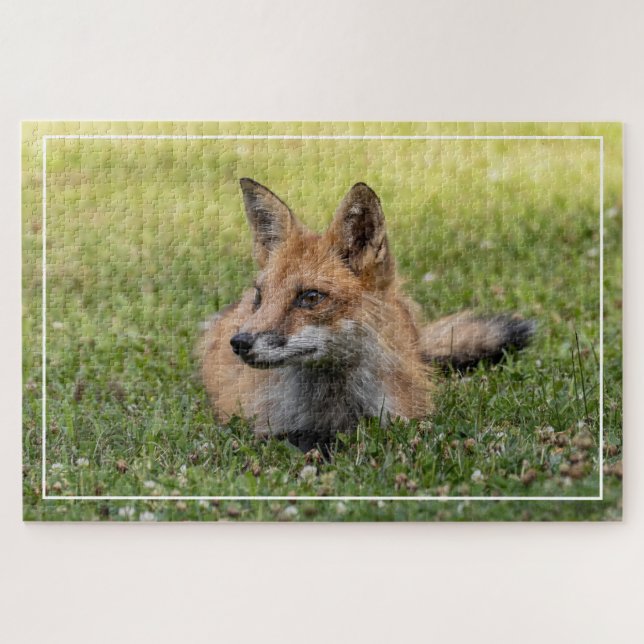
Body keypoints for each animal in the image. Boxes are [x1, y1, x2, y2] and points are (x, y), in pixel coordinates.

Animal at [200, 178, 535, 452]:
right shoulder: (266, 426)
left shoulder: (404, 418)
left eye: (310, 297)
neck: (336, 408)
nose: (240, 342)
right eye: (260, 297)